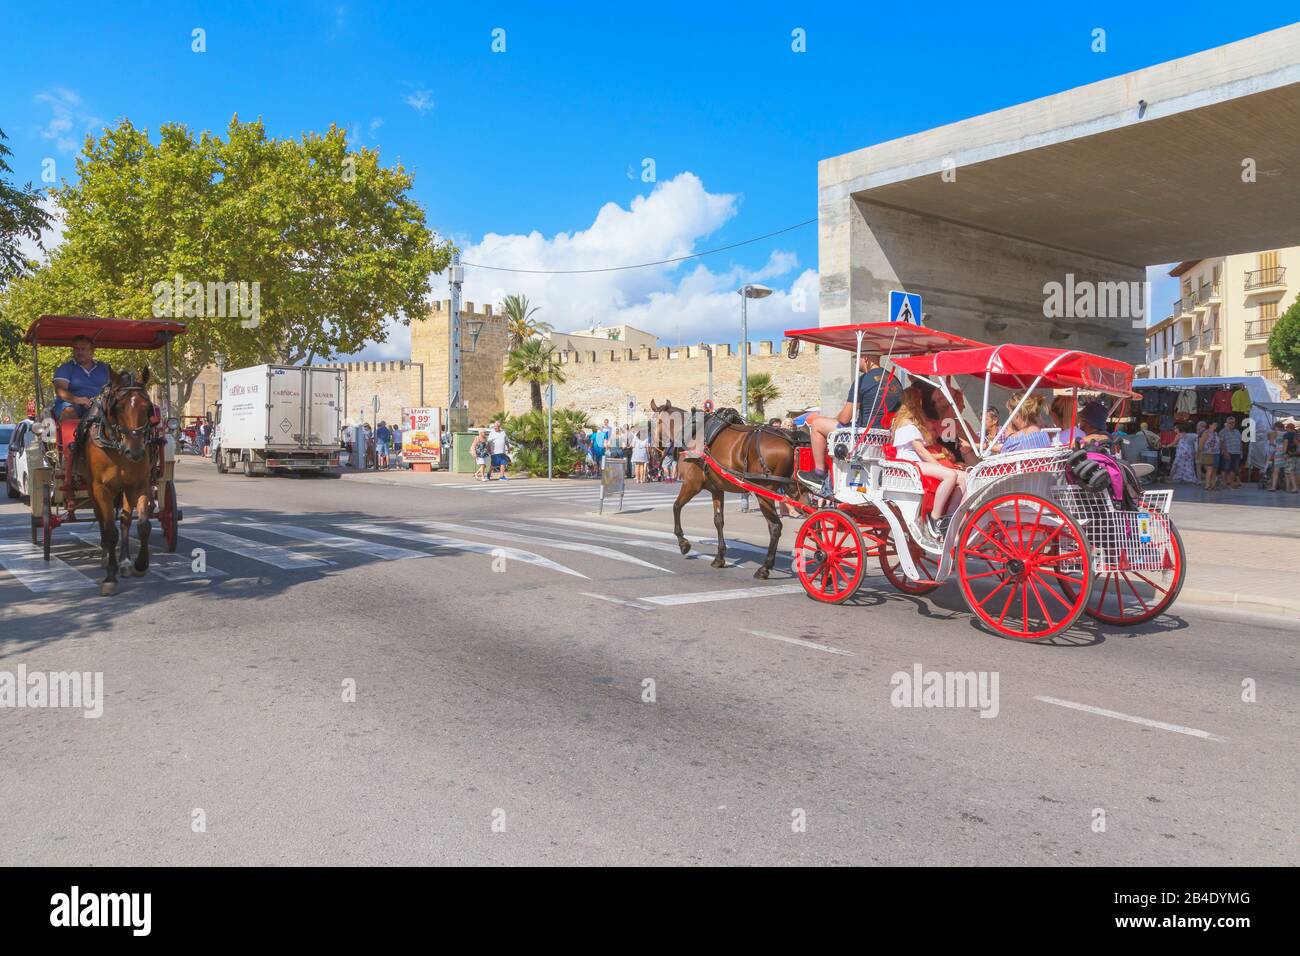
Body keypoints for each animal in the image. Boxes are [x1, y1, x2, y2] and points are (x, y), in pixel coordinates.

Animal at [78, 369, 158, 595]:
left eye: (147, 407)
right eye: (119, 407)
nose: (136, 451)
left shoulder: (139, 485)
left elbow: (142, 525)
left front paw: (140, 563)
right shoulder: (101, 488)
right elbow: (110, 530)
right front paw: (110, 577)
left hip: (124, 489)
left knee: (124, 520)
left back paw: (125, 561)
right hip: (93, 488)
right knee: (102, 520)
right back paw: (107, 555)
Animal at [655, 400, 806, 580]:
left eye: (655, 422)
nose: (655, 453)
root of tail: (790, 441)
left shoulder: (691, 484)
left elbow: (676, 507)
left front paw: (683, 543)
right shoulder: (716, 489)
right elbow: (718, 520)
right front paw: (720, 557)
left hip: (764, 494)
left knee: (775, 527)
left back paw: (765, 567)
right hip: (796, 490)